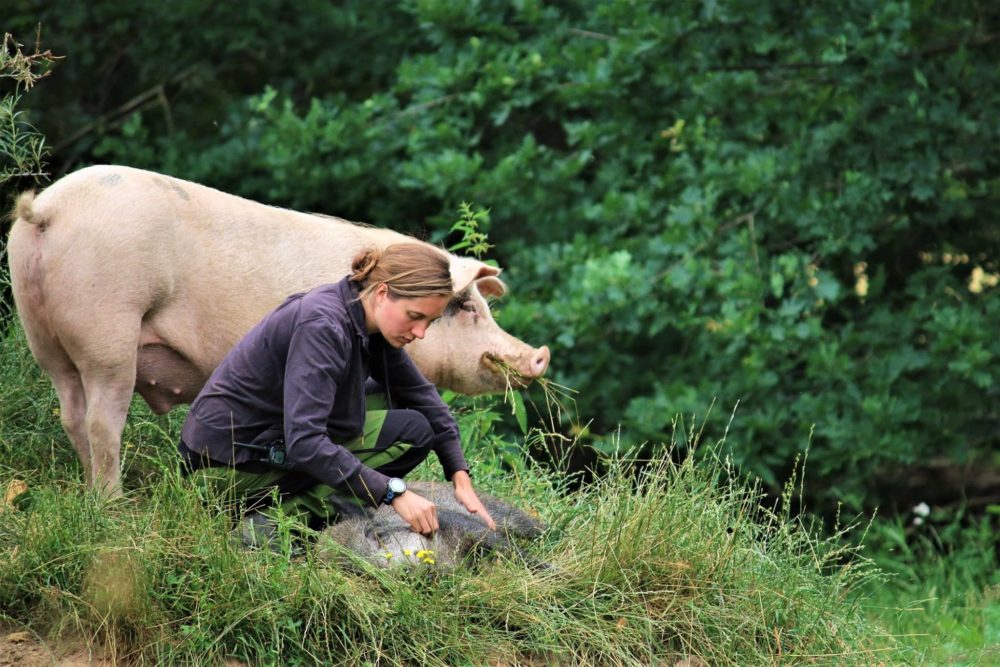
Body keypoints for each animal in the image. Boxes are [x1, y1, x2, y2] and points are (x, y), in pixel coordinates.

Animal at [7, 165, 552, 494]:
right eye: (468, 307)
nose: (537, 354)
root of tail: (47, 210)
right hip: (108, 330)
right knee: (103, 420)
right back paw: (115, 504)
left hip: (44, 337)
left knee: (71, 415)